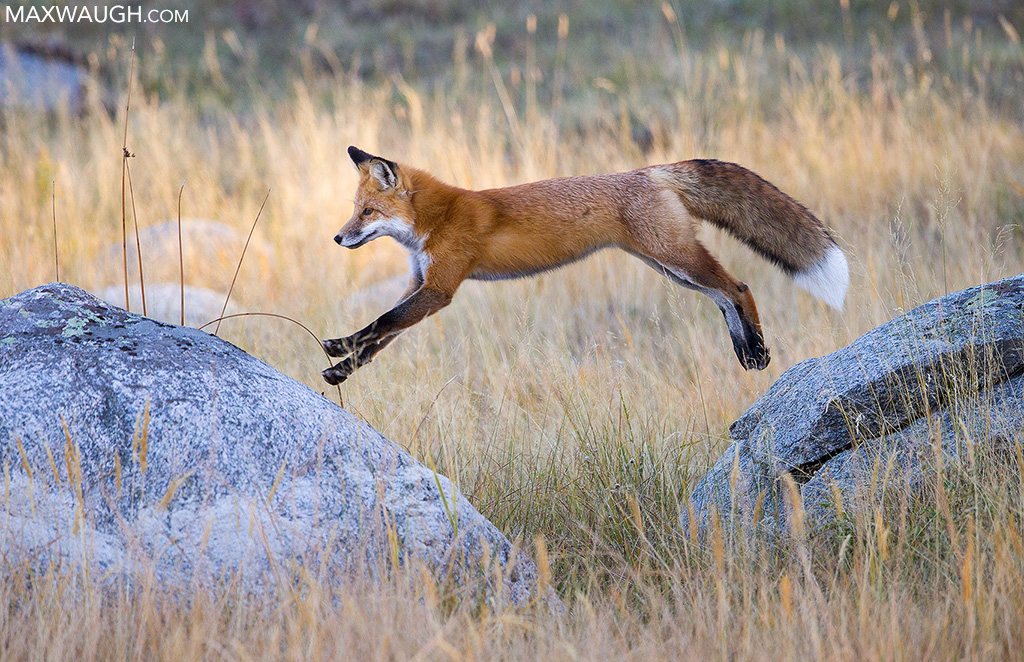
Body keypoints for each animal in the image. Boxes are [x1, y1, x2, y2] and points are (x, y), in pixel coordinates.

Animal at [321, 146, 848, 385]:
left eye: (367, 212)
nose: (338, 238)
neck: (437, 218)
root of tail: (649, 171)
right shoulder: (419, 283)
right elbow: (382, 336)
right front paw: (343, 368)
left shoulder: (440, 289)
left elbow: (381, 322)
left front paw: (336, 349)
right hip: (669, 267)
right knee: (723, 297)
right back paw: (747, 350)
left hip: (676, 259)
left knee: (739, 287)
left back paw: (758, 349)